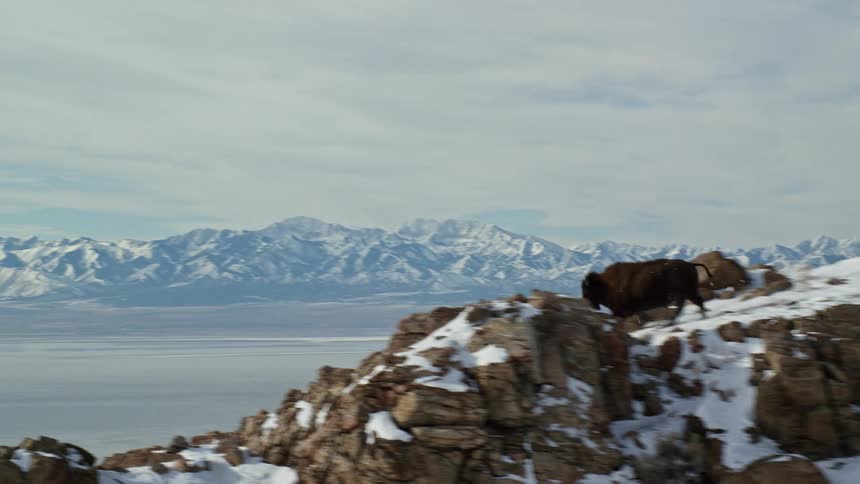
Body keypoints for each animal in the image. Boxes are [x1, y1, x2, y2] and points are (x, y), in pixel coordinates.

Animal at [581, 259, 713, 323]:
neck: (607, 284)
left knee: (691, 304)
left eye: (586, 289)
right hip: (688, 293)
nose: (588, 303)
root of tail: (690, 264)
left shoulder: (622, 312)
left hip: (685, 292)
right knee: (695, 302)